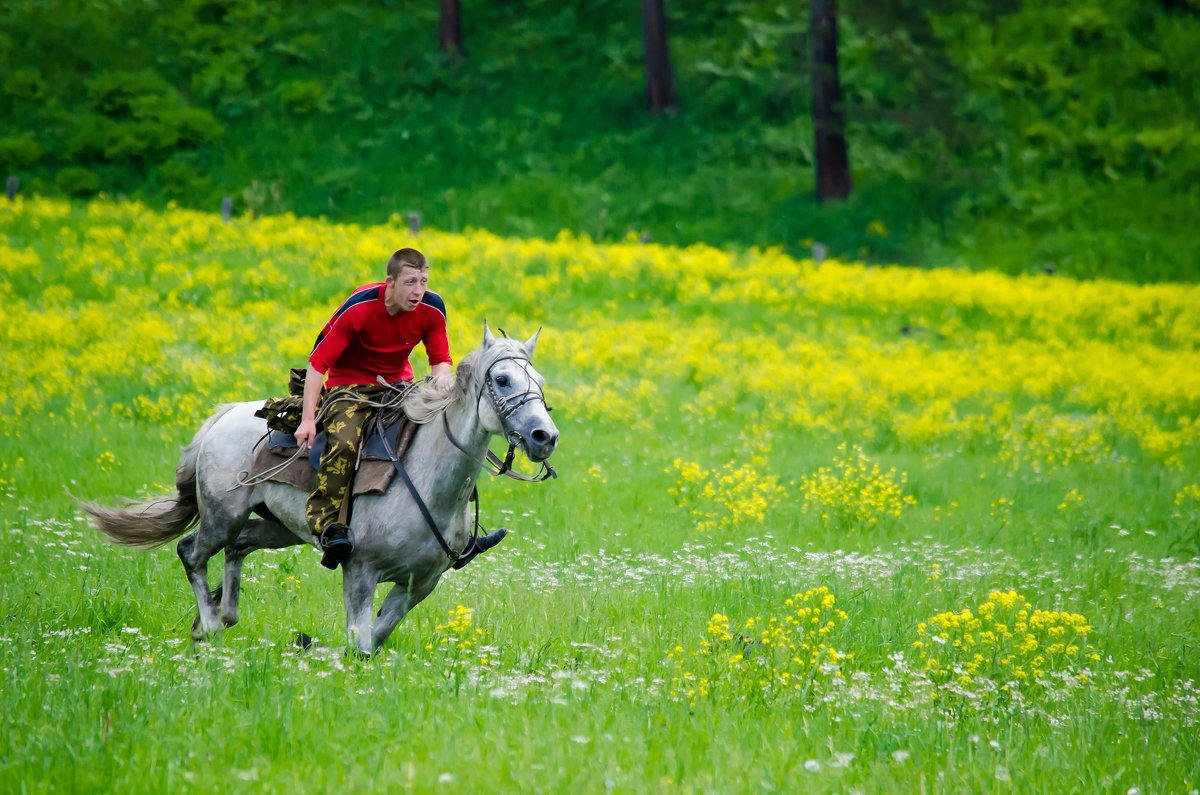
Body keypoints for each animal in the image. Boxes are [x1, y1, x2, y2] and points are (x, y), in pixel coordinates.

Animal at [82, 324, 559, 653]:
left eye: (538, 382)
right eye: (502, 381)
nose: (544, 437)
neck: (428, 479)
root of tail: (224, 416)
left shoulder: (419, 584)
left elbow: (374, 639)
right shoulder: (360, 571)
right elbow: (361, 643)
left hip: (280, 528)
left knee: (238, 548)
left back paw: (222, 615)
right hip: (222, 516)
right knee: (193, 552)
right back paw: (211, 626)